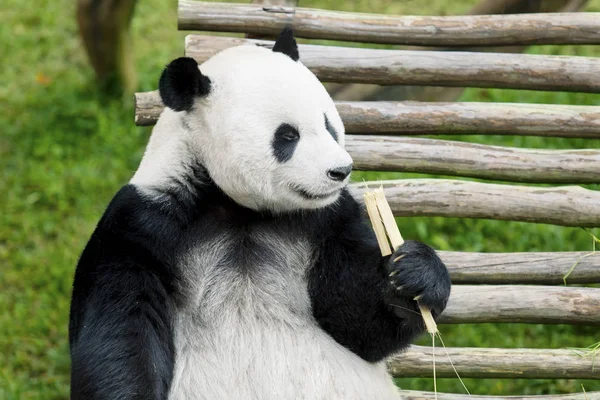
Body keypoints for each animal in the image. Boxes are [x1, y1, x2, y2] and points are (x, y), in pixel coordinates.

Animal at [69, 26, 450, 398]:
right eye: (288, 136)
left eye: (328, 124)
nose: (341, 171)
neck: (240, 208)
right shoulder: (143, 226)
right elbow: (122, 336)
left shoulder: (328, 221)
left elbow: (356, 325)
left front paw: (415, 274)